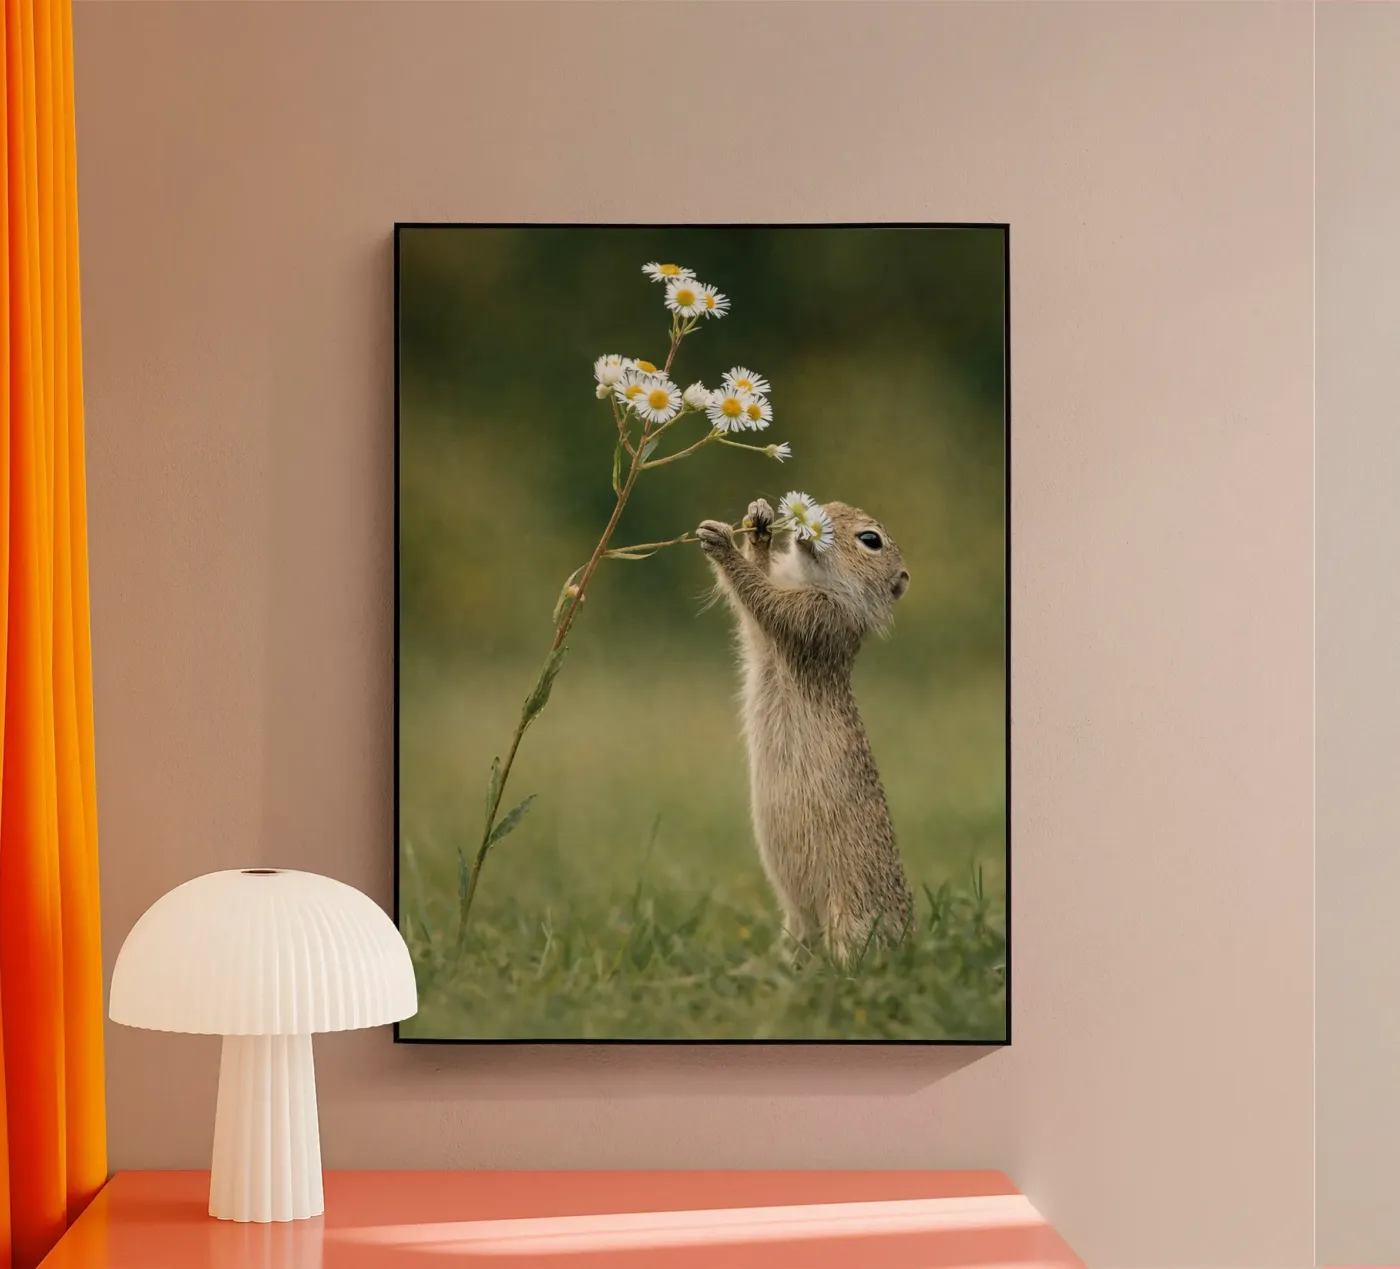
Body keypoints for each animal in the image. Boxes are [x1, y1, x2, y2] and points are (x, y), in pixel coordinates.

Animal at [697, 497, 914, 966]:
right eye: (832, 503)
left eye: (871, 539)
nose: (815, 516)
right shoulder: (767, 635)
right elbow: (754, 611)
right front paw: (759, 523)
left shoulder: (817, 618)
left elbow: (763, 598)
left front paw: (721, 542)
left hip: (850, 916)